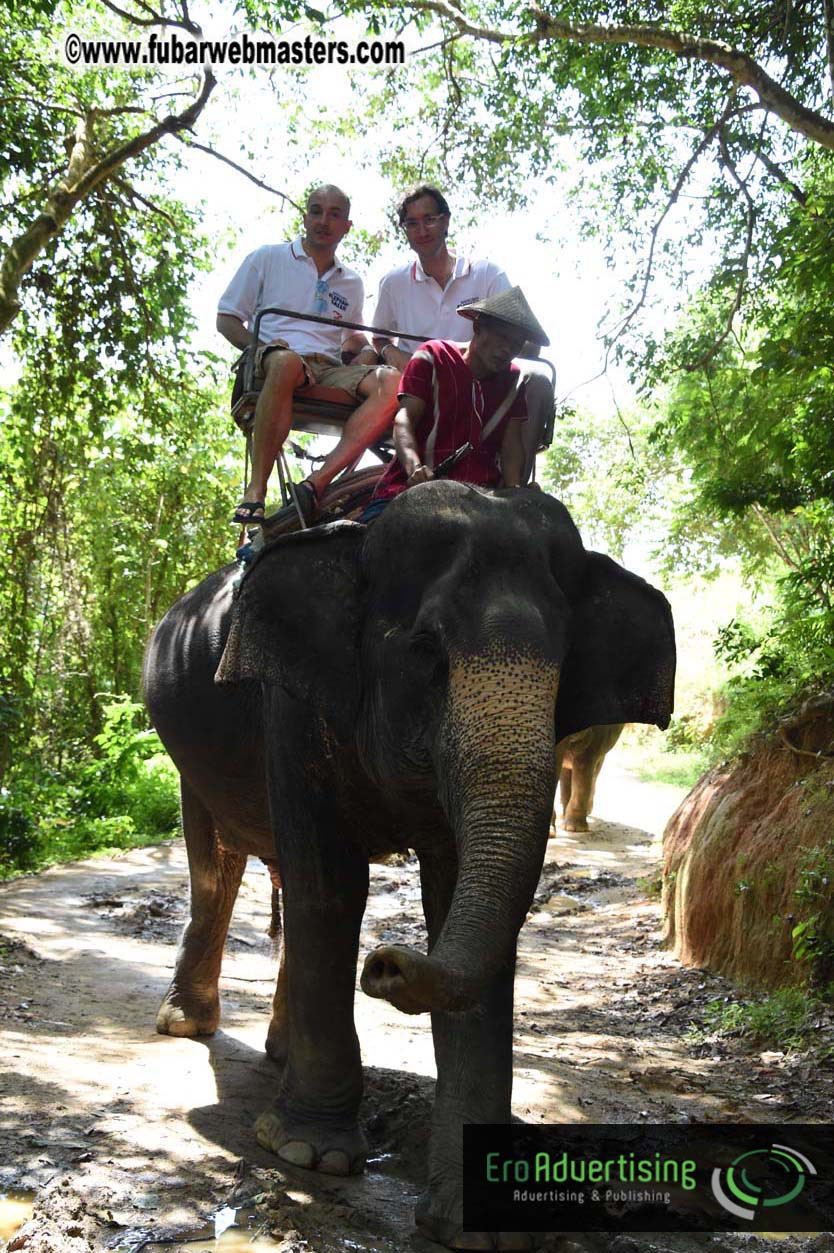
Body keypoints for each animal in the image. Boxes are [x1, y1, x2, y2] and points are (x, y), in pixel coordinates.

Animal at [143, 481, 675, 1251]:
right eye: (428, 652)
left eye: (567, 664)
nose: (386, 964)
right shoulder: (291, 705)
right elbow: (332, 886)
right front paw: (311, 1154)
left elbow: (453, 899)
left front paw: (477, 1225)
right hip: (195, 751)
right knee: (219, 863)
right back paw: (186, 1025)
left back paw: (278, 1051)